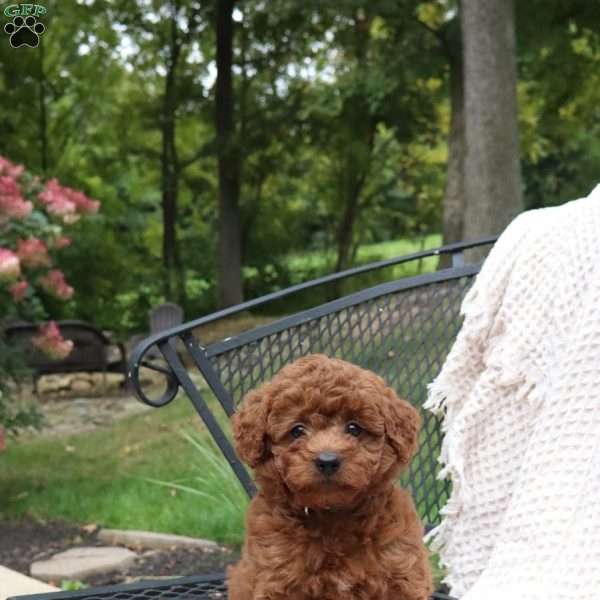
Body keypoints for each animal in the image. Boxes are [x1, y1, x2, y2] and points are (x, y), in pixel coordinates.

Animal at [229, 354, 432, 596]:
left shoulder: (401, 571)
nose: (327, 461)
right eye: (297, 430)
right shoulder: (275, 576)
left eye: (354, 428)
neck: (332, 516)